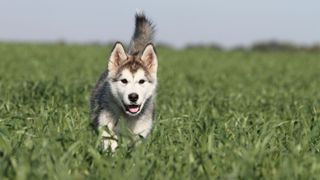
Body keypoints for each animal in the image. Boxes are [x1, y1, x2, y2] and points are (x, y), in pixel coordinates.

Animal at [90, 11, 158, 151]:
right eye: (124, 81)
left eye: (141, 81)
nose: (133, 96)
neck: (128, 118)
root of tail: (133, 53)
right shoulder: (106, 127)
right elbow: (111, 145)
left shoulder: (141, 134)